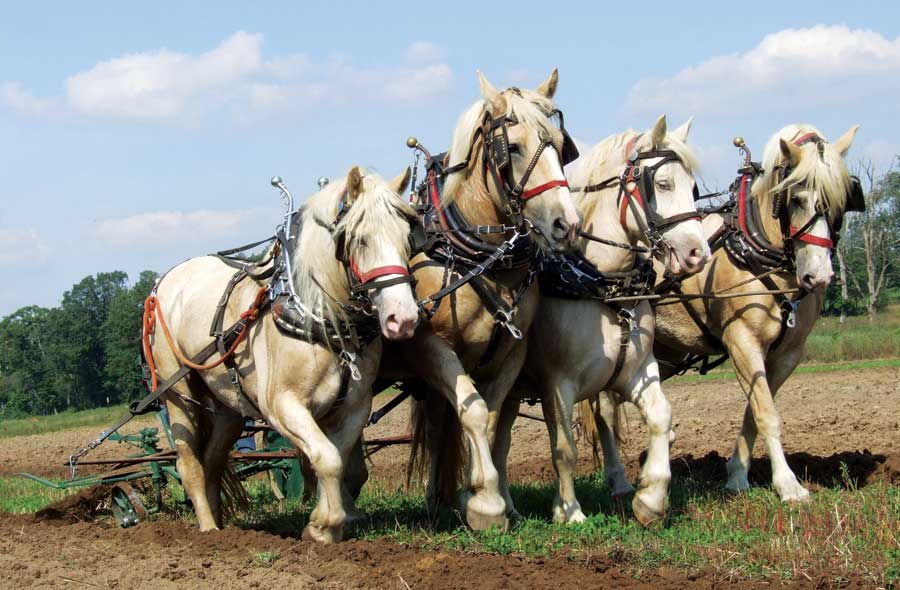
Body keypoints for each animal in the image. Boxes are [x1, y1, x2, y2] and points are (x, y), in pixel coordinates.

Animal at [378, 69, 576, 532]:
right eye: (513, 148)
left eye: (561, 147)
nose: (566, 223)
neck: (484, 261)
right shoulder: (431, 345)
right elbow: (471, 414)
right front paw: (485, 504)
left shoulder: (513, 351)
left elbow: (490, 418)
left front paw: (485, 495)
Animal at [512, 117, 712, 528]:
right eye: (662, 184)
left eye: (693, 188)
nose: (698, 254)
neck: (600, 283)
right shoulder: (556, 384)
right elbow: (564, 449)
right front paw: (568, 511)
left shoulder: (637, 370)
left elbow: (661, 417)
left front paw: (650, 499)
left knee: (603, 415)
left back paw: (619, 482)